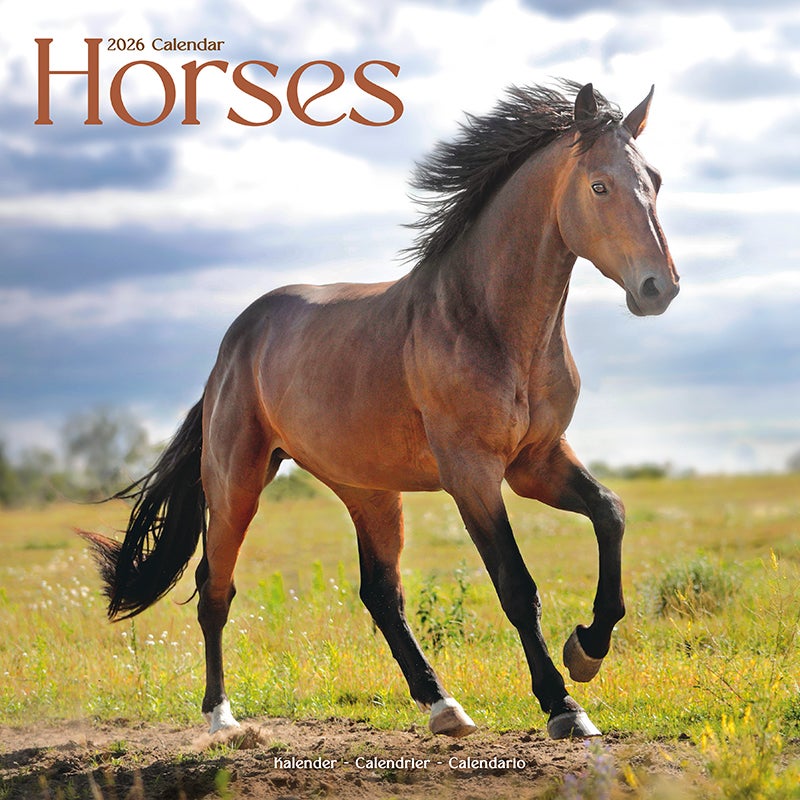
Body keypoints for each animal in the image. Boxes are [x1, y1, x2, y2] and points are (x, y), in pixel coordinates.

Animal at [80, 81, 679, 741]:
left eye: (654, 178)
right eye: (599, 185)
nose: (659, 288)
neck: (487, 320)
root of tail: (233, 345)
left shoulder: (537, 463)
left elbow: (610, 513)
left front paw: (586, 651)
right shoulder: (473, 475)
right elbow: (517, 586)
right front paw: (563, 705)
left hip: (367, 491)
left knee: (380, 594)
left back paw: (443, 706)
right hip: (236, 483)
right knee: (216, 589)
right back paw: (221, 717)